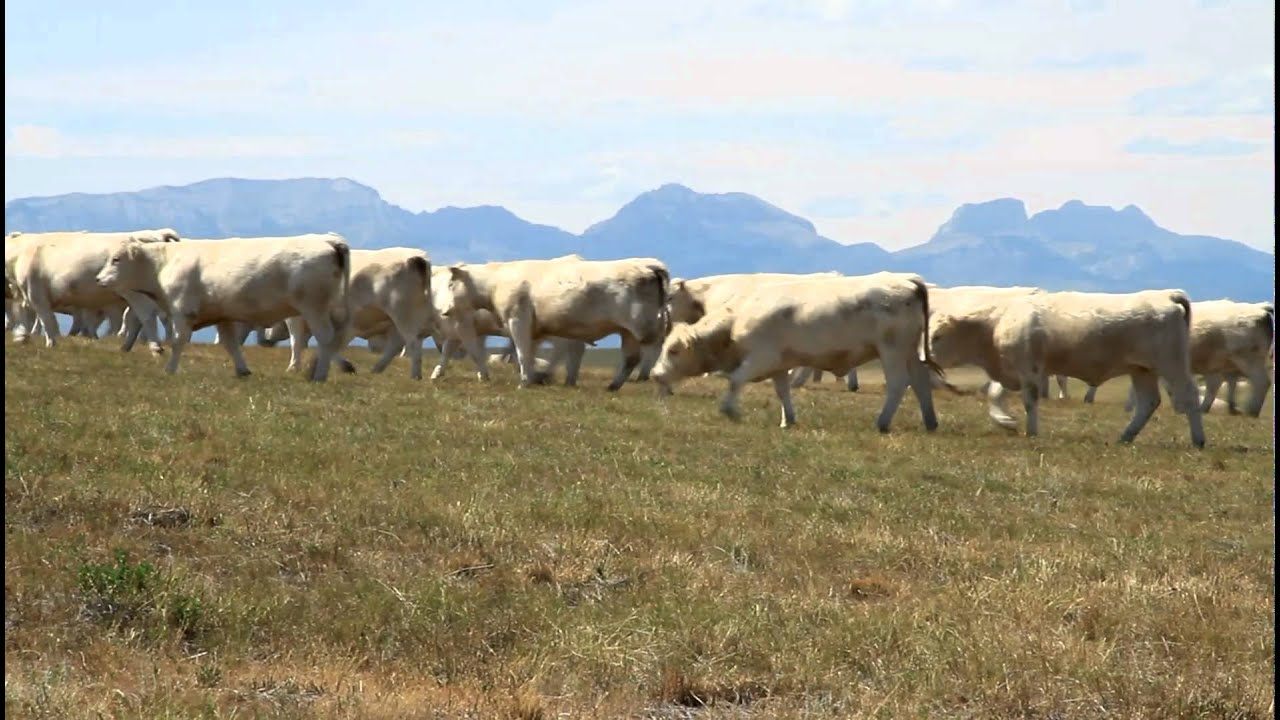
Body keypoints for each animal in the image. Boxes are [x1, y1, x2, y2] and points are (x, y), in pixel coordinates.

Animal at [94, 233, 352, 381]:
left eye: (116, 259)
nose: (98, 279)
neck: (163, 264)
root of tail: (327, 240)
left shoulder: (182, 311)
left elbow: (178, 341)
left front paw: (170, 369)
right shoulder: (223, 316)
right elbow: (230, 344)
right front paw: (242, 370)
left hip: (313, 308)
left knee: (325, 338)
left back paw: (320, 374)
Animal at [439, 255, 670, 390]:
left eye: (451, 283)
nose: (445, 311)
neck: (496, 283)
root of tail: (647, 265)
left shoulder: (518, 320)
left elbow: (522, 353)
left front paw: (525, 382)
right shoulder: (534, 330)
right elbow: (528, 354)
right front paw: (533, 377)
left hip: (644, 327)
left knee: (653, 351)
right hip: (627, 332)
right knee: (631, 358)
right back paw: (612, 386)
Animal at [650, 272, 942, 432]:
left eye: (673, 350)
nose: (655, 374)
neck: (737, 317)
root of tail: (908, 280)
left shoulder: (761, 358)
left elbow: (736, 380)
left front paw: (729, 409)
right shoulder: (779, 364)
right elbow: (782, 391)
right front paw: (787, 420)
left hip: (892, 350)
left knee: (898, 383)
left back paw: (882, 422)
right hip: (909, 352)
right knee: (920, 382)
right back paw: (930, 422)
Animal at [929, 288, 1205, 447]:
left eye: (937, 335)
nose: (925, 356)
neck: (995, 324)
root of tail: (1166, 295)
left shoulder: (1029, 371)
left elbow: (1030, 401)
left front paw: (1031, 432)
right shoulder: (1011, 371)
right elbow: (994, 393)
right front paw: (1005, 421)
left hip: (1172, 365)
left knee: (1190, 397)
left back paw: (1198, 440)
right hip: (1142, 370)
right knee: (1148, 402)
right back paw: (1125, 437)